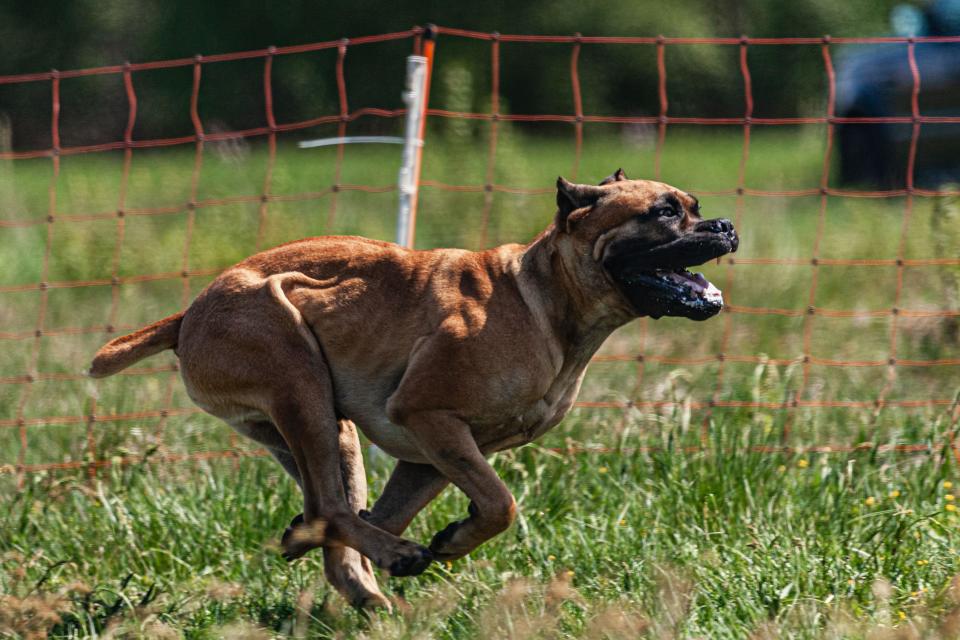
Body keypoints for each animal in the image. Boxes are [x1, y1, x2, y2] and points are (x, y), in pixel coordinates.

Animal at [90, 171, 740, 608]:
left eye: (695, 206)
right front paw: (449, 541)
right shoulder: (431, 421)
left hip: (331, 431)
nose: (727, 226)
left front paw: (431, 541)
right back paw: (389, 560)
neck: (544, 297)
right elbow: (501, 503)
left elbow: (395, 512)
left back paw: (356, 582)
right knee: (329, 507)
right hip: (298, 379)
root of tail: (187, 315)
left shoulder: (433, 457)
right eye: (663, 212)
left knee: (331, 514)